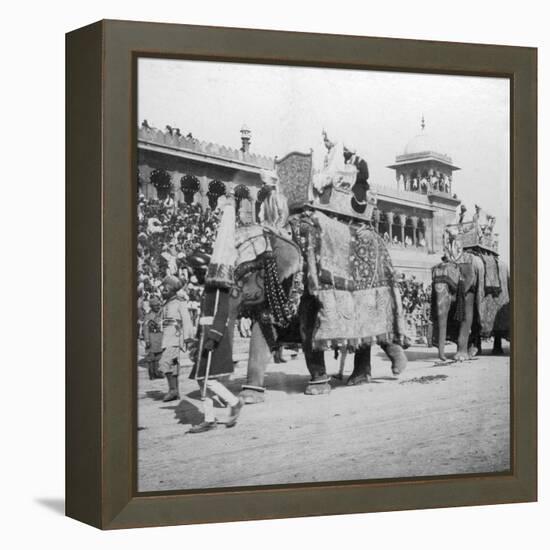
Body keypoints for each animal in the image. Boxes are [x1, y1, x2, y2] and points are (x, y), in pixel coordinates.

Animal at [229, 210, 410, 406]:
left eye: (245, 272)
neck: (280, 232)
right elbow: (262, 334)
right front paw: (248, 396)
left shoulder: (308, 285)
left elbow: (308, 332)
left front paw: (317, 389)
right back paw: (361, 379)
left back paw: (395, 369)